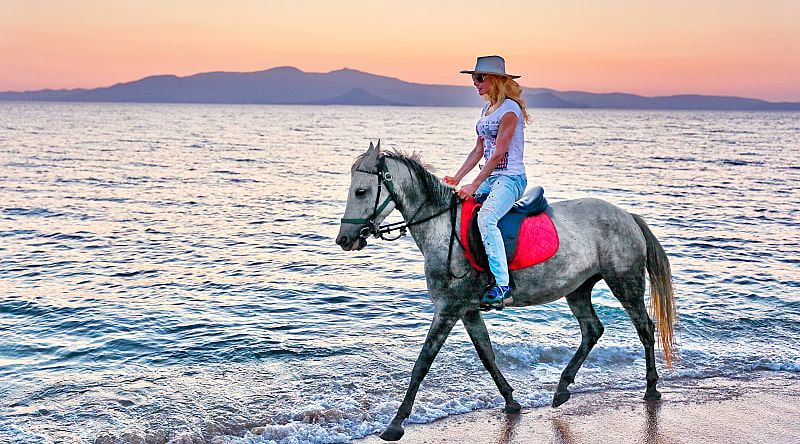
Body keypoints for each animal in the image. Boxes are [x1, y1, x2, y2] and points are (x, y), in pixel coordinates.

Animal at [334, 142, 680, 440]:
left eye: (361, 191)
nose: (345, 239)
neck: (443, 229)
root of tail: (627, 216)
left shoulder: (447, 309)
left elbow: (422, 364)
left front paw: (396, 423)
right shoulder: (467, 310)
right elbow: (487, 354)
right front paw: (511, 401)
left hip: (625, 283)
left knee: (645, 328)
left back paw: (651, 388)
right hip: (578, 289)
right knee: (592, 330)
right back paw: (562, 389)